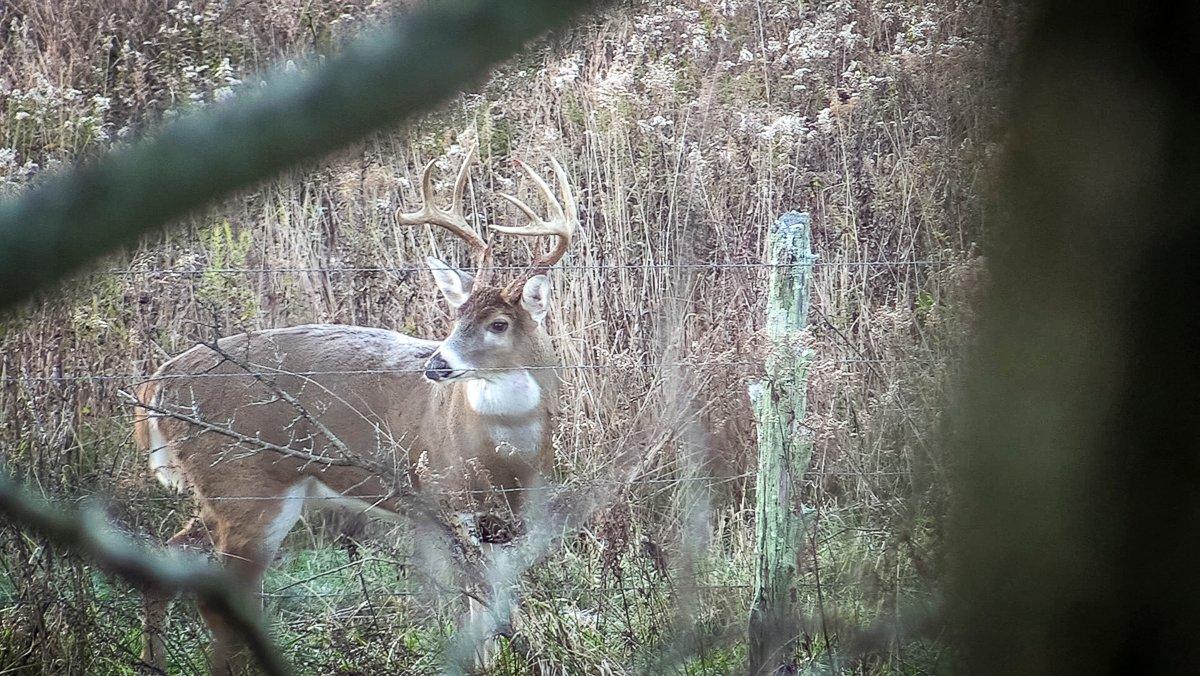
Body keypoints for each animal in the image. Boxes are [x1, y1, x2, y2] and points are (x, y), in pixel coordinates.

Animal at [131, 149, 576, 676]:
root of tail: (159, 381)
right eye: (455, 317)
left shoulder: (512, 520)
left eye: (499, 324)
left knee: (169, 557)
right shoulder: (445, 500)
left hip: (222, 494)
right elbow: (478, 602)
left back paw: (152, 662)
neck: (503, 457)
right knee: (223, 598)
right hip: (244, 486)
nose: (436, 364)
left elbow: (498, 603)